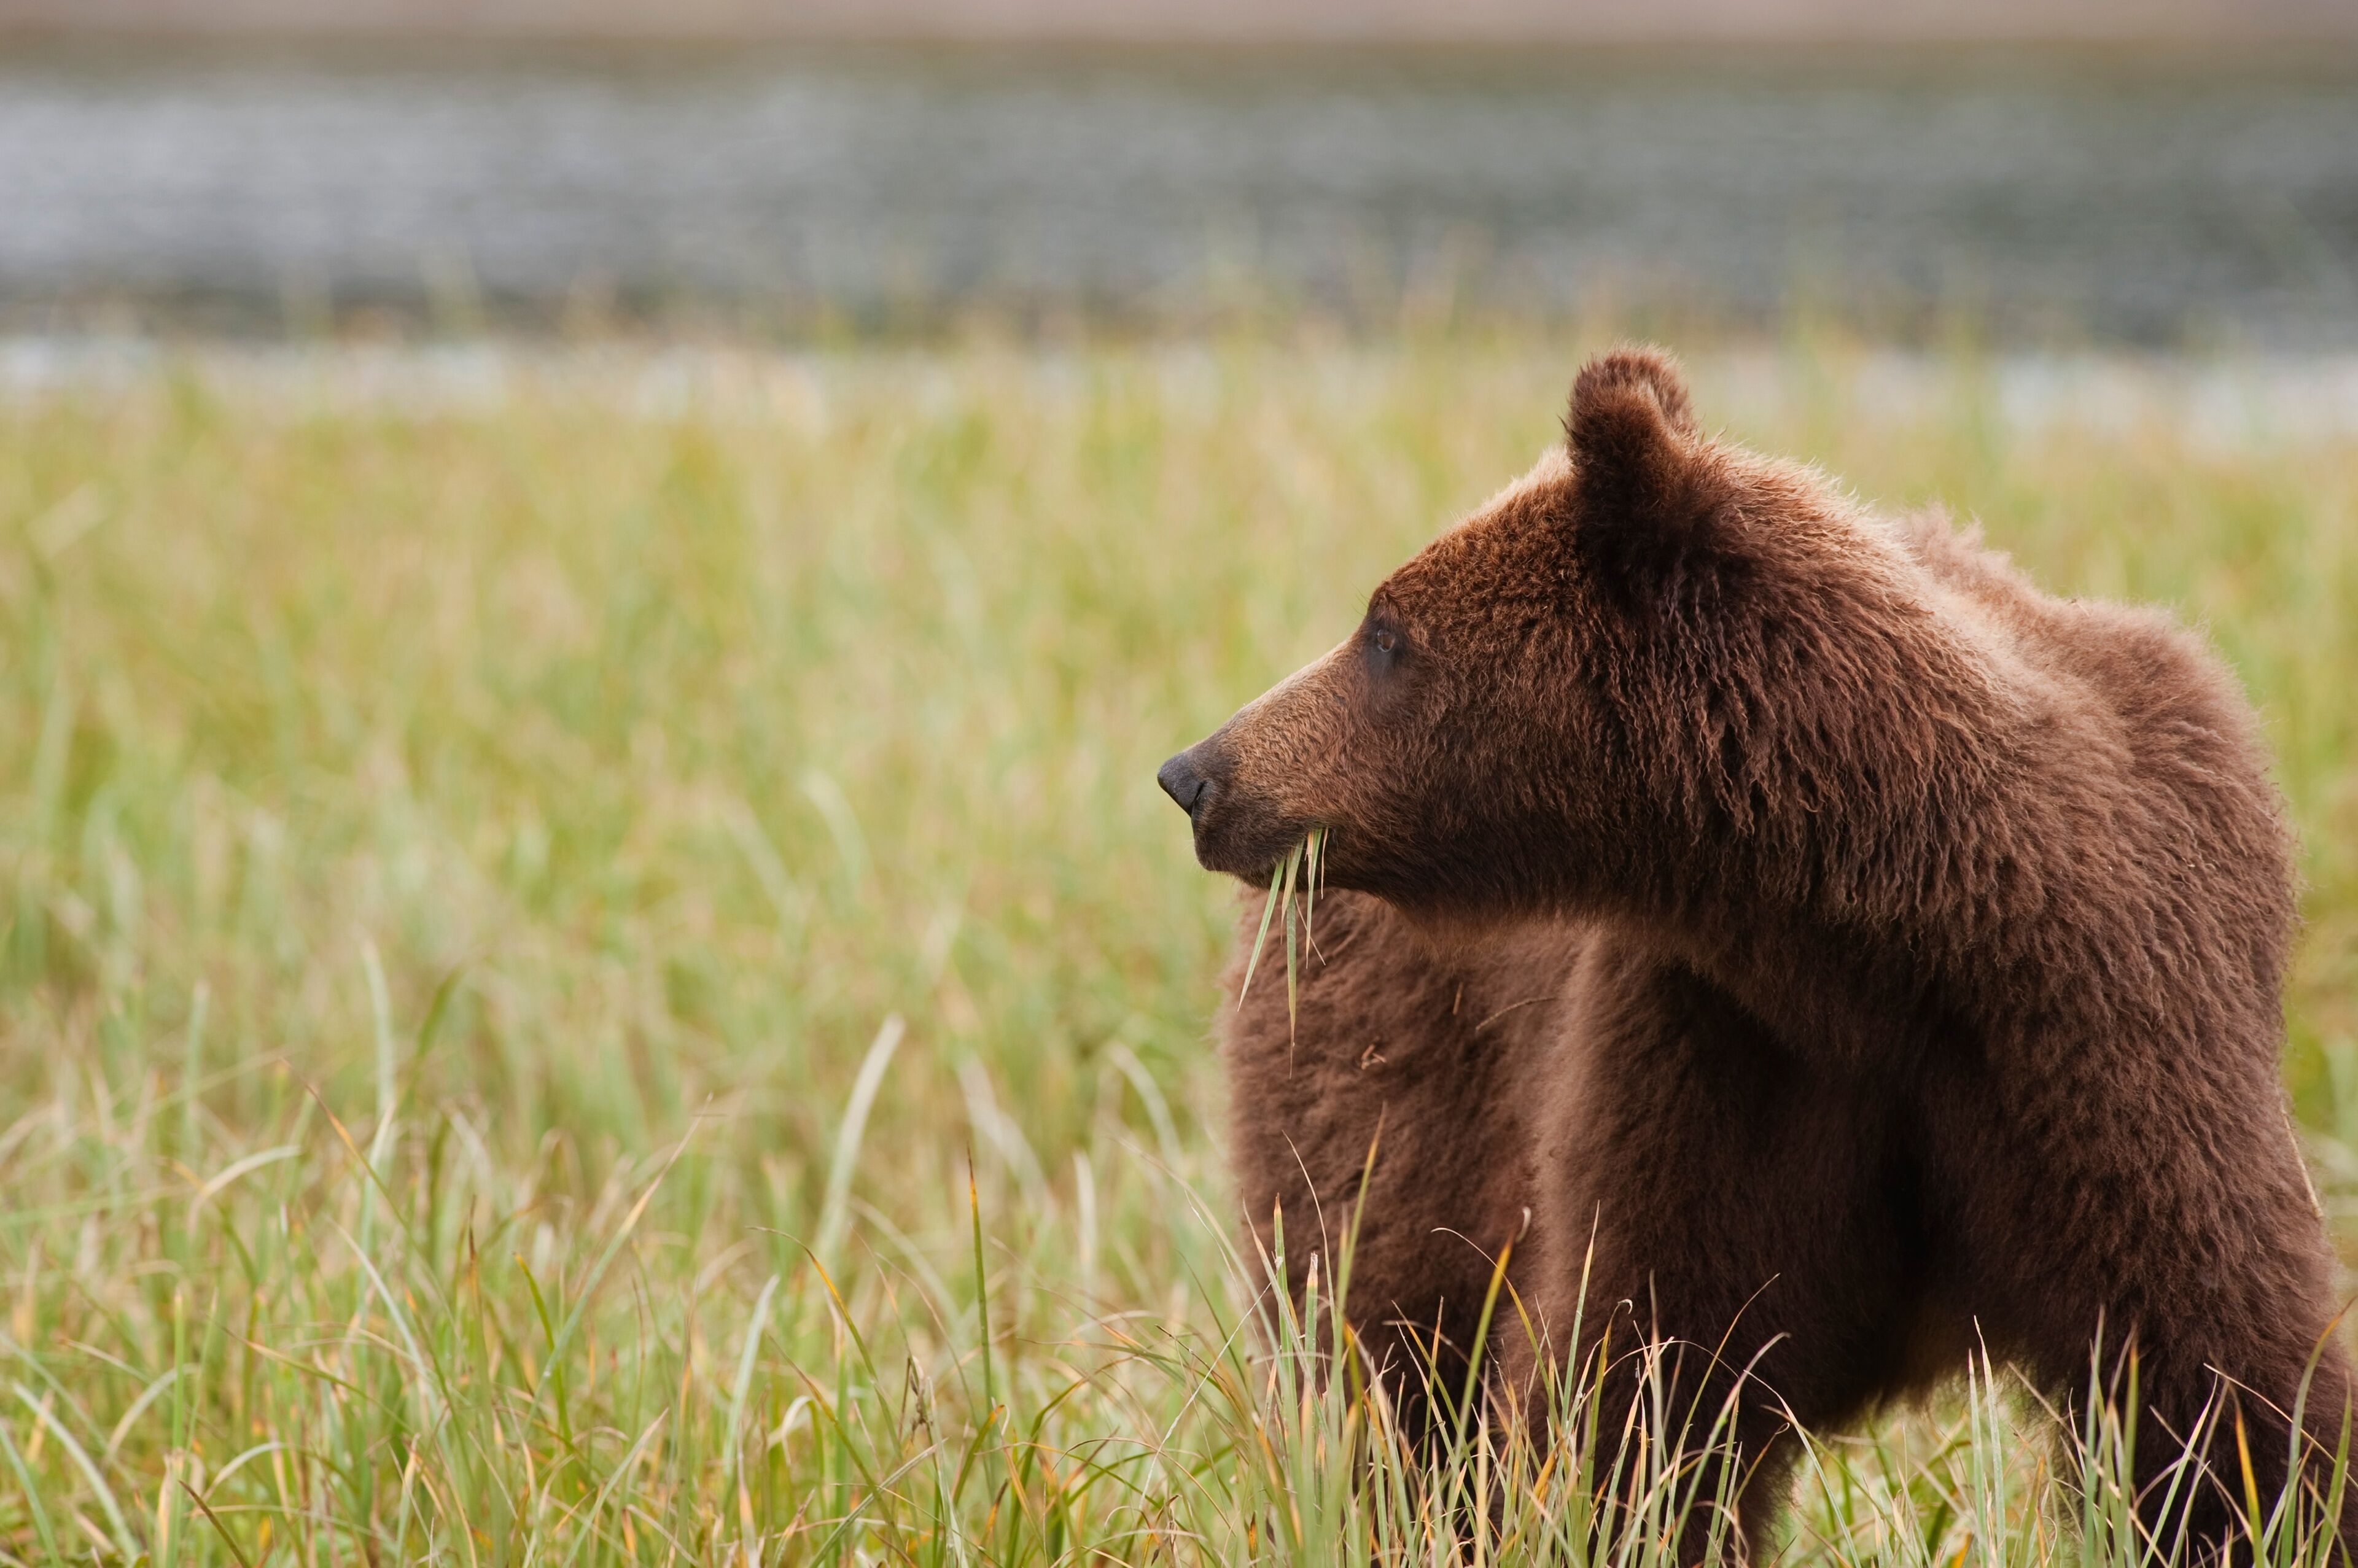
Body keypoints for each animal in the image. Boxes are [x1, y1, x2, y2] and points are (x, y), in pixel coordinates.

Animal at [1157, 347, 2353, 1560]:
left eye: (1387, 631)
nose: (1197, 771)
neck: (1878, 934)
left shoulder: (2107, 1035)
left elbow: (2224, 1389)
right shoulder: (1714, 1049)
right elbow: (1644, 1387)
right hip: (1396, 1078)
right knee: (1379, 1339)